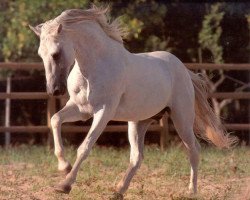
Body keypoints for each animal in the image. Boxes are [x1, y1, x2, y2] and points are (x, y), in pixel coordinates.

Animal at [29, 5, 236, 199]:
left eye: (56, 53)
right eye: (40, 54)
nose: (54, 90)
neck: (95, 66)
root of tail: (184, 70)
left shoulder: (103, 112)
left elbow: (85, 147)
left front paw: (64, 185)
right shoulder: (81, 110)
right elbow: (55, 120)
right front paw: (64, 166)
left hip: (181, 119)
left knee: (194, 150)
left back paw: (191, 191)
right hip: (139, 122)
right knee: (137, 157)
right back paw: (118, 191)